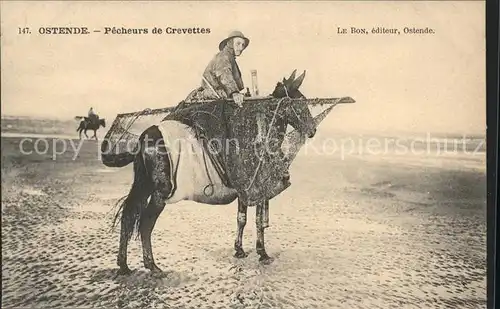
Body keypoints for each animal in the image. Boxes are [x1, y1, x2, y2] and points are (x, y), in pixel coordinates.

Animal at [110, 70, 316, 274]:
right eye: (299, 103)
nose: (312, 129)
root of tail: (144, 137)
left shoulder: (244, 190)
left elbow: (241, 218)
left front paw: (239, 249)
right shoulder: (258, 187)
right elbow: (258, 220)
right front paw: (262, 253)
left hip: (143, 185)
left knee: (128, 216)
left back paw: (124, 265)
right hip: (160, 192)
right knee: (145, 224)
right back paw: (151, 265)